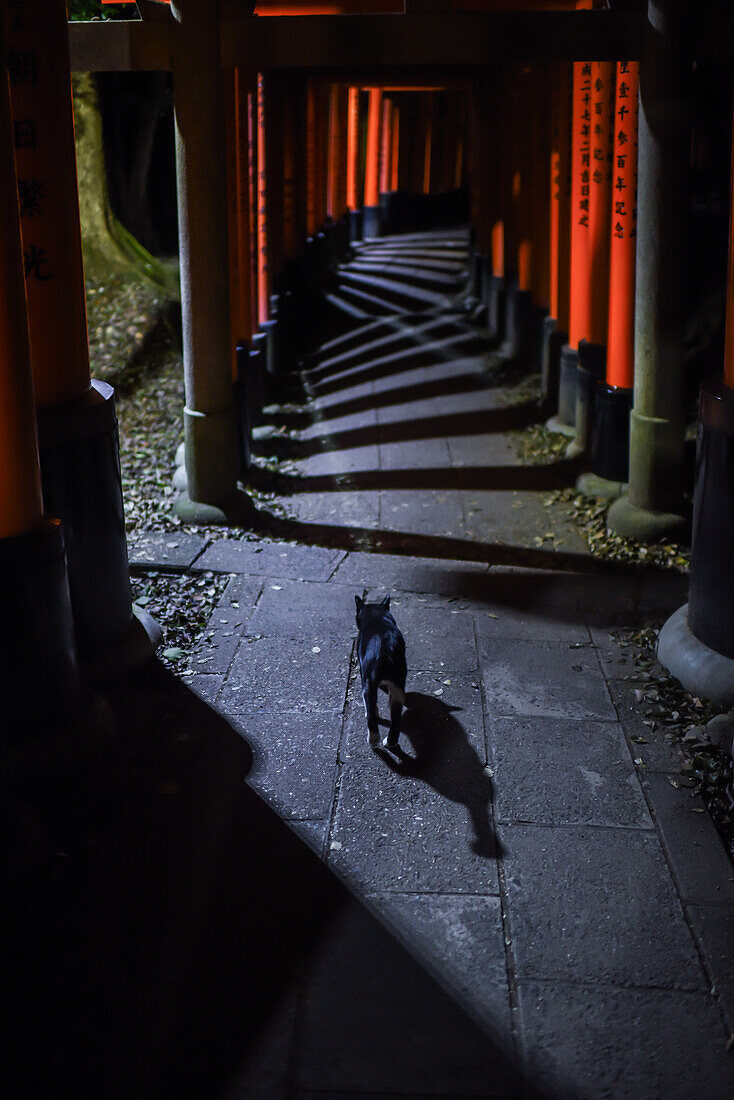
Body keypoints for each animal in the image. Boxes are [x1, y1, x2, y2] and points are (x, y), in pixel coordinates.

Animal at [356, 598, 407, 752]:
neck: (376, 615)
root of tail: (387, 649)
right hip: (398, 686)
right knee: (396, 717)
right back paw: (390, 743)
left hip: (369, 684)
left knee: (371, 712)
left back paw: (373, 740)